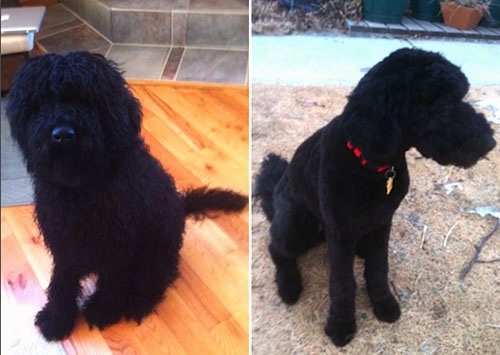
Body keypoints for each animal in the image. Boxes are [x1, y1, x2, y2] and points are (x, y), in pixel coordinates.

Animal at [5, 52, 248, 342]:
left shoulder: (119, 243)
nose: (62, 134)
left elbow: (113, 279)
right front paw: (57, 317)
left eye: (88, 99)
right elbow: (62, 280)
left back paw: (139, 302)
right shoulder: (64, 240)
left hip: (157, 245)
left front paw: (102, 309)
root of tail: (180, 206)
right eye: (42, 101)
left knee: (157, 276)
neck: (82, 189)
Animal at [254, 47, 496, 348]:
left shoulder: (382, 221)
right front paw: (341, 324)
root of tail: (275, 194)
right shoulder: (340, 232)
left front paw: (383, 303)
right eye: (436, 103)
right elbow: (343, 282)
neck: (372, 167)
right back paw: (288, 285)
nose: (489, 143)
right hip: (295, 228)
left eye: (460, 95)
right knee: (275, 246)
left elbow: (378, 267)